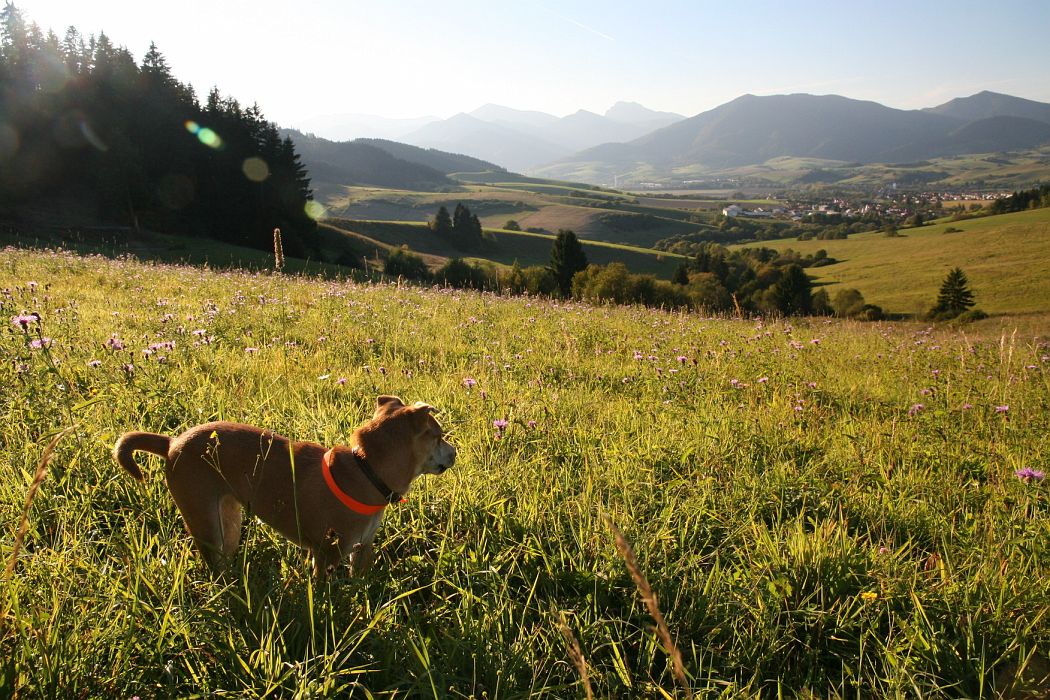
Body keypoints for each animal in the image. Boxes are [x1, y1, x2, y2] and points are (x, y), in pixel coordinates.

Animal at [111, 396, 455, 579]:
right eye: (438, 437)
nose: (455, 453)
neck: (366, 468)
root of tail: (171, 443)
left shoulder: (362, 548)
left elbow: (360, 583)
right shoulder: (327, 553)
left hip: (228, 518)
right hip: (206, 520)